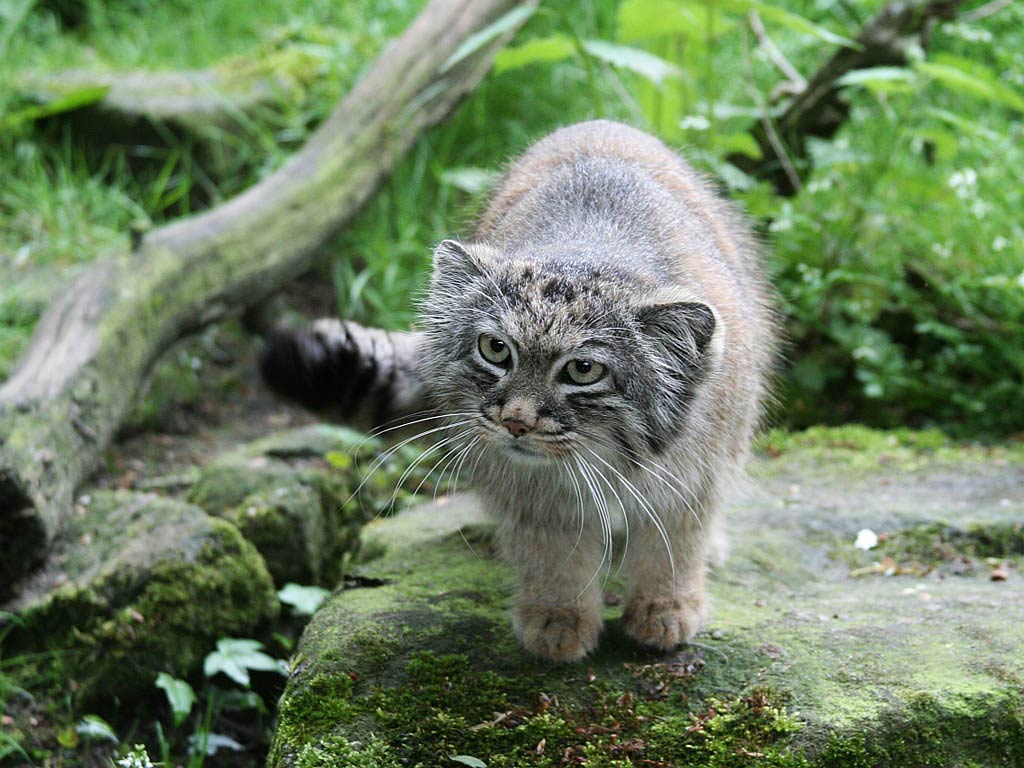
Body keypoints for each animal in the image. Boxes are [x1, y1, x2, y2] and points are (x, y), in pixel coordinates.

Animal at [262, 120, 774, 663]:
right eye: (495, 349)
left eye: (583, 370)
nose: (515, 421)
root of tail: (600, 123)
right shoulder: (528, 490)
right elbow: (551, 553)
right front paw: (557, 616)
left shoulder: (696, 471)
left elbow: (674, 543)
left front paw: (666, 606)